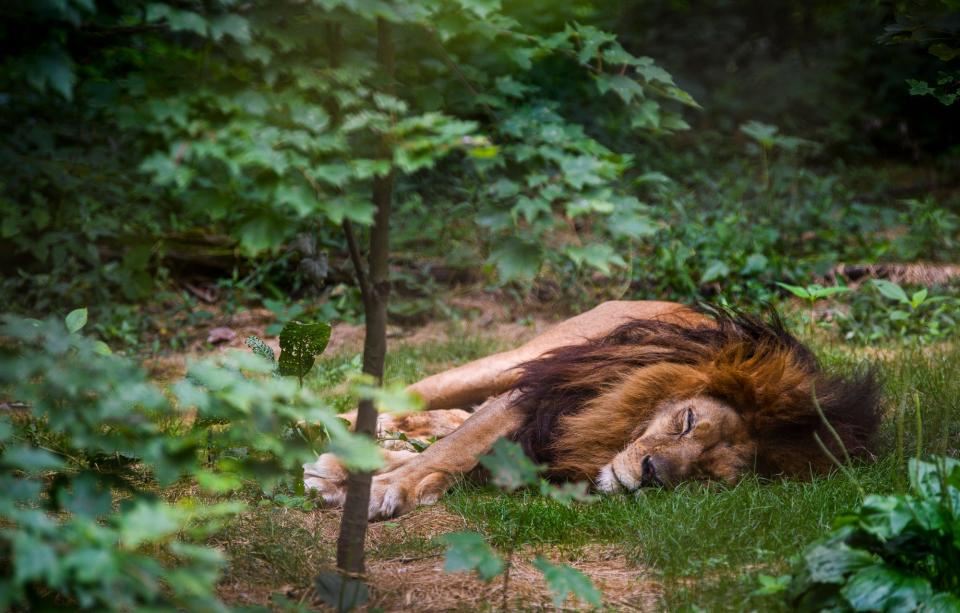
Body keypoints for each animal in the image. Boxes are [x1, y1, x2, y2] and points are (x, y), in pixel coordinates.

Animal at [304, 298, 880, 520]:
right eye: (687, 421)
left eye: (711, 475)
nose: (651, 473)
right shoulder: (543, 392)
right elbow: (459, 445)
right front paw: (380, 485)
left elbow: (459, 452)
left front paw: (364, 473)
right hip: (519, 359)